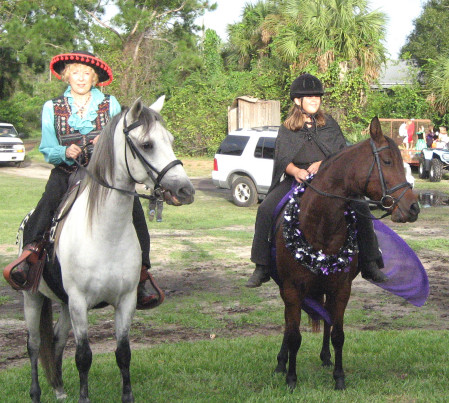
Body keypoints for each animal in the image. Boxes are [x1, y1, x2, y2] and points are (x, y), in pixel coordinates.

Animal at [21, 96, 194, 402]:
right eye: (147, 144)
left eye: (171, 140)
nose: (185, 190)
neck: (105, 235)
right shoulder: (79, 302)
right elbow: (83, 356)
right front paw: (84, 397)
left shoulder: (125, 301)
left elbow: (123, 353)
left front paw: (127, 396)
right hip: (32, 297)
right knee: (34, 344)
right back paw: (36, 393)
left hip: (63, 304)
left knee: (56, 340)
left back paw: (60, 389)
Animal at [272, 117, 420, 392]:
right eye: (387, 161)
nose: (413, 207)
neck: (319, 224)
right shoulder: (292, 288)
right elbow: (294, 334)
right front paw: (291, 378)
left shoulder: (341, 288)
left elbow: (338, 334)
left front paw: (339, 377)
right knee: (289, 325)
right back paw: (281, 364)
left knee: (327, 321)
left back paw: (325, 358)